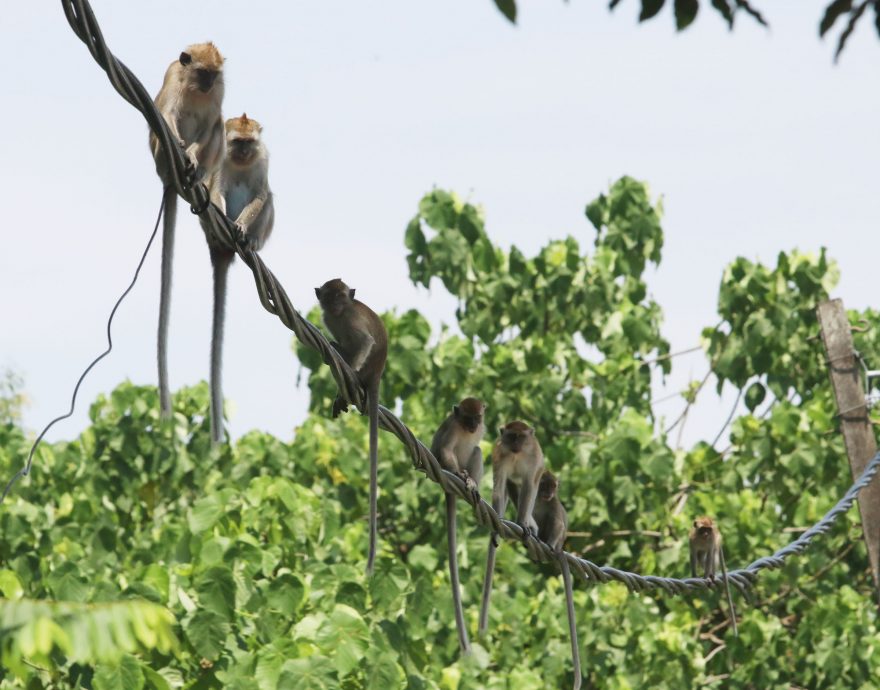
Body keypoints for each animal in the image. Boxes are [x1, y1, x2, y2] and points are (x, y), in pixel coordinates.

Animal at [478, 414, 548, 636]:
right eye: (511, 436)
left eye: (521, 437)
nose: (516, 446)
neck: (517, 455)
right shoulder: (500, 455)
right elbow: (499, 487)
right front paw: (496, 525)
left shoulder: (533, 458)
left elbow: (529, 485)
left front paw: (523, 523)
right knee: (509, 484)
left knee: (531, 486)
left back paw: (528, 523)